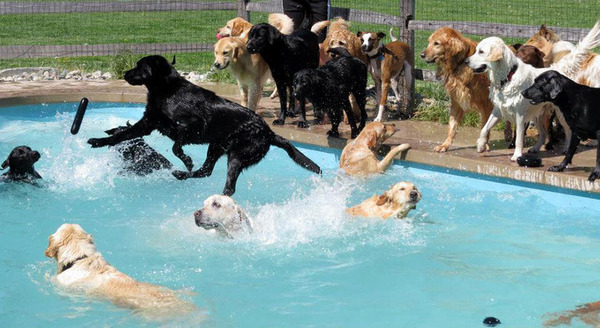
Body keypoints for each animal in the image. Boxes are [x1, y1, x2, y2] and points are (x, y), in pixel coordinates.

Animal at [86, 55, 322, 196]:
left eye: (139, 66)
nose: (125, 74)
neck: (168, 91)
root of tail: (270, 133)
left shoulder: (194, 126)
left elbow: (176, 146)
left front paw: (187, 160)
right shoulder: (147, 122)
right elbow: (120, 135)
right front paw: (98, 141)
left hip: (237, 154)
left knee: (229, 186)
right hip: (217, 147)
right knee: (206, 171)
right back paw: (182, 175)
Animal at [466, 21, 600, 160]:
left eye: (481, 52)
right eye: (477, 50)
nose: (466, 61)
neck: (508, 76)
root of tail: (557, 70)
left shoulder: (520, 116)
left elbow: (519, 138)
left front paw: (517, 155)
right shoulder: (498, 110)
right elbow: (484, 128)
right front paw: (481, 145)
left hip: (559, 114)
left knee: (567, 131)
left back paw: (566, 149)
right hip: (537, 114)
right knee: (544, 133)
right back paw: (535, 148)